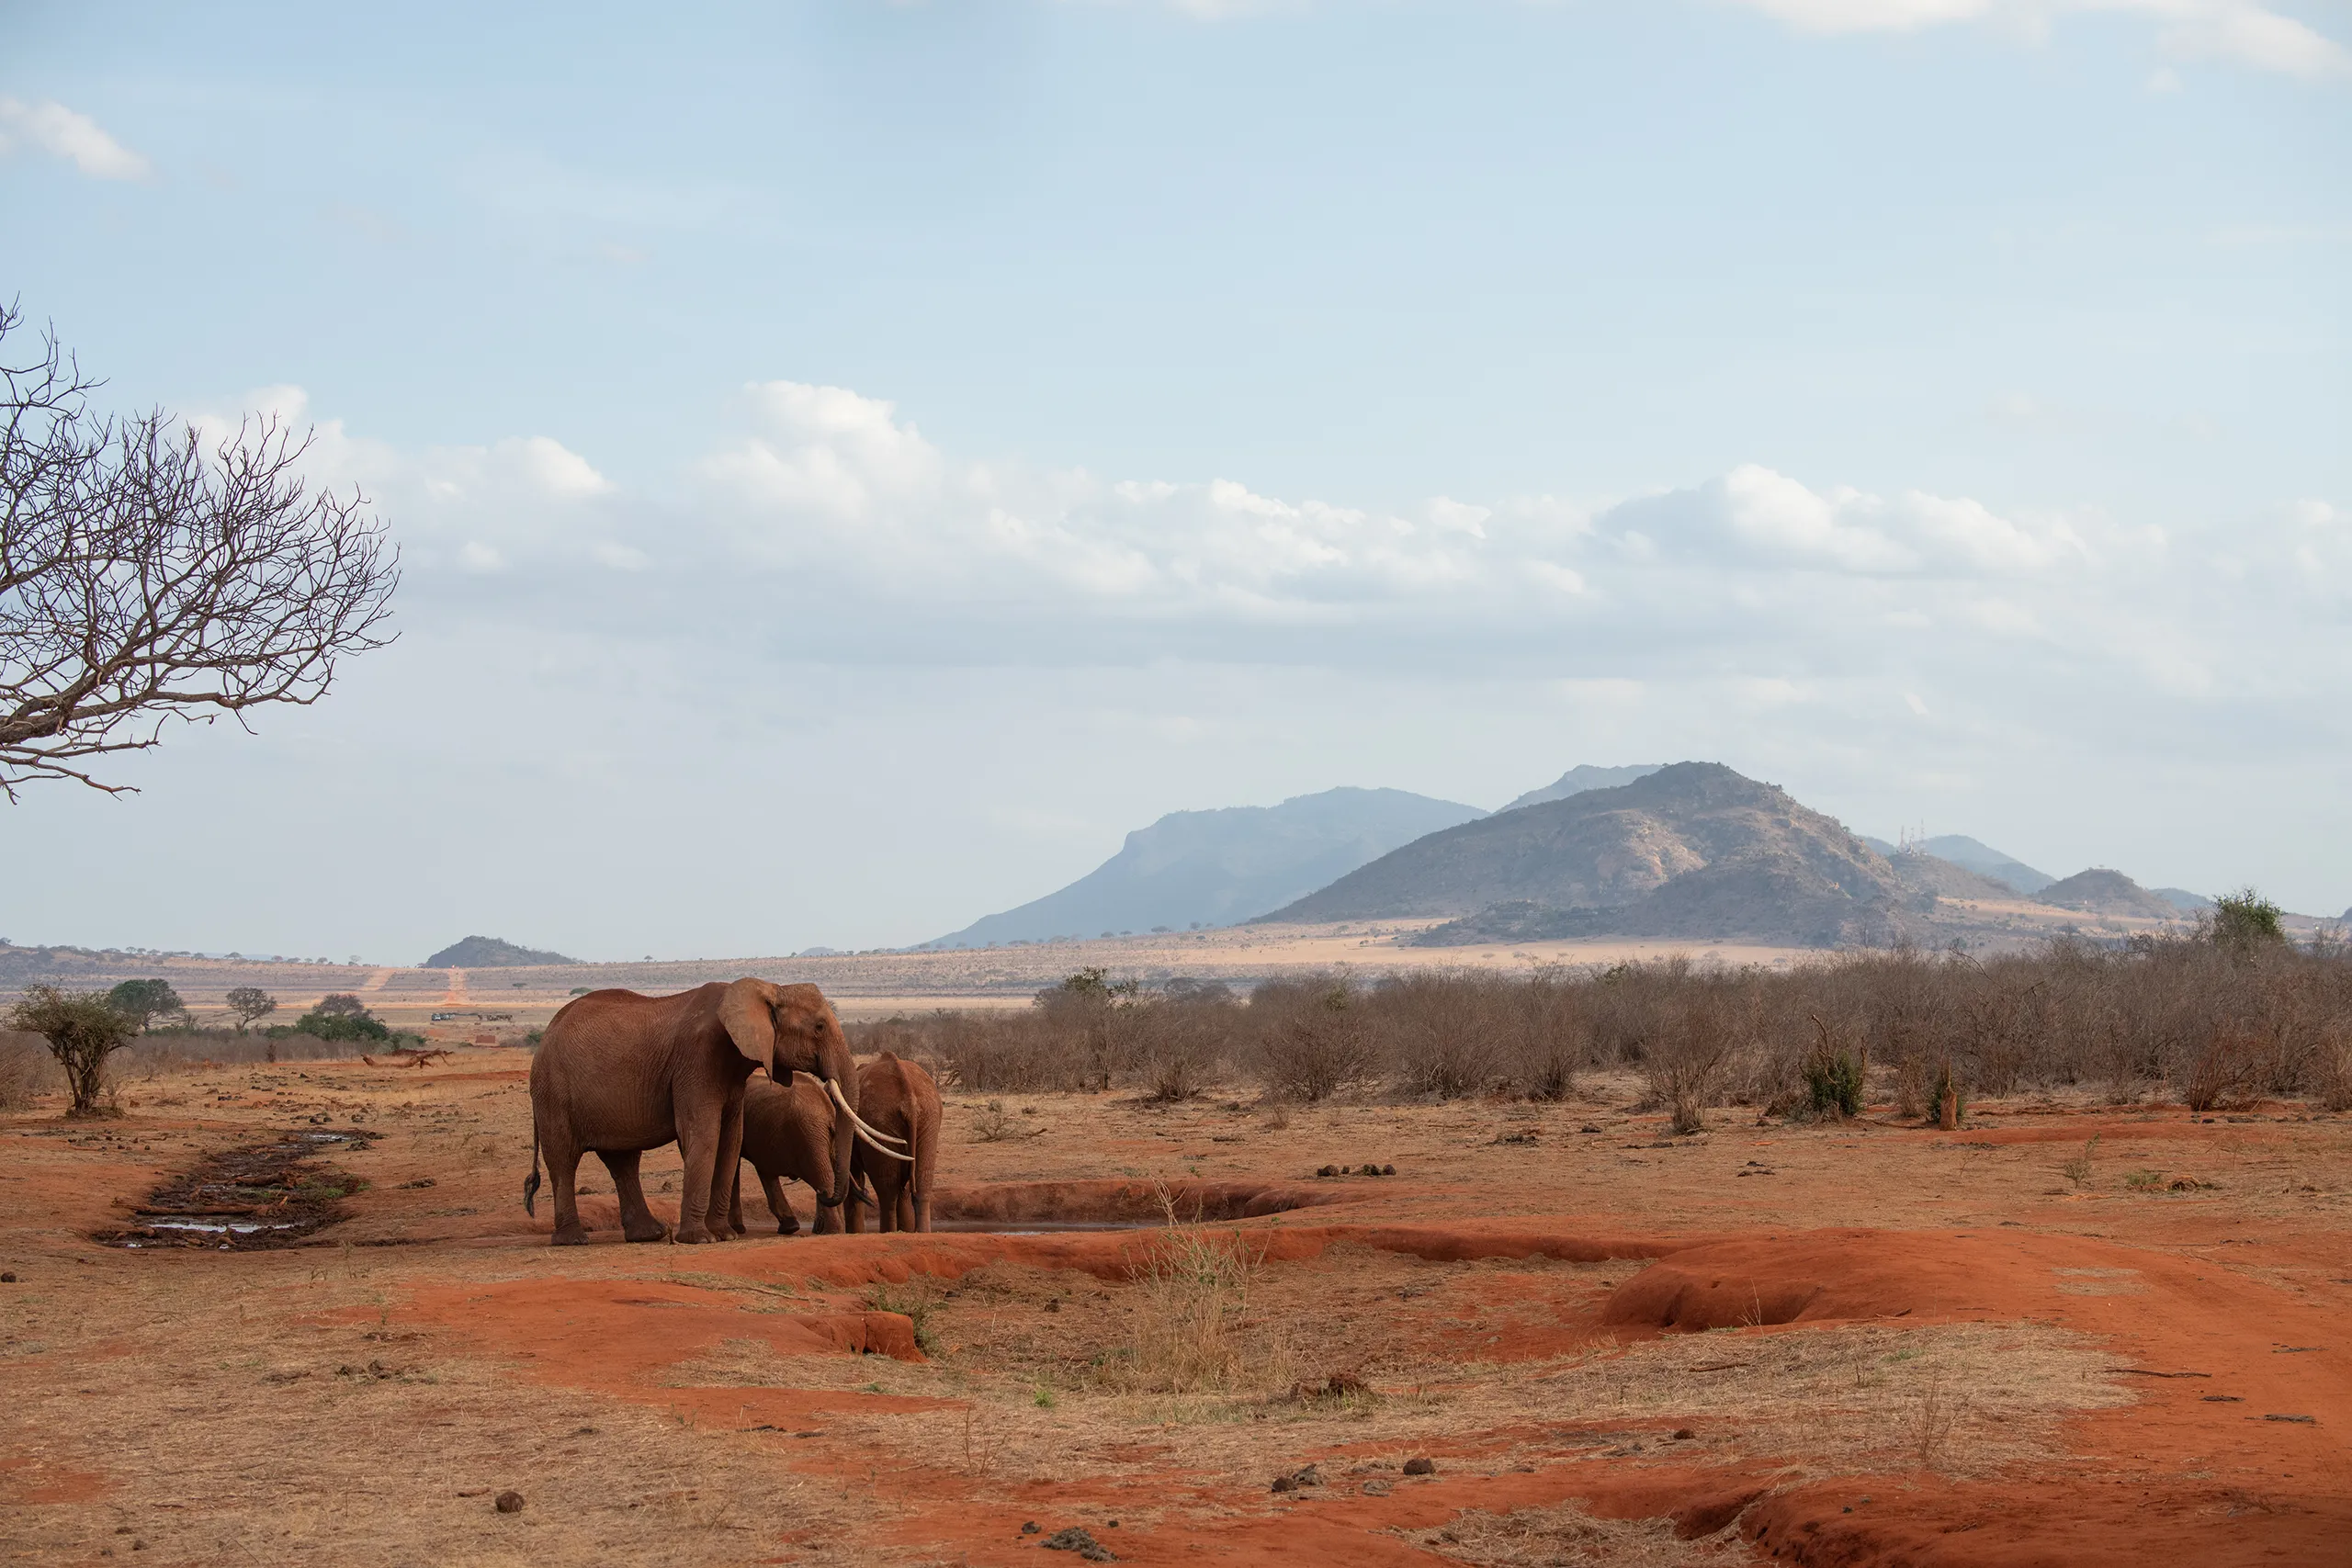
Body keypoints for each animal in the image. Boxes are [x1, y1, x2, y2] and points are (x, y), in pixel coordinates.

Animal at [724, 1073, 848, 1236]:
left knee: (823, 1176)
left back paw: (832, 1231)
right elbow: (764, 1170)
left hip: (809, 1136)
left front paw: (737, 1228)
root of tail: (828, 1111)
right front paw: (790, 1227)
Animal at [846, 1051, 941, 1233]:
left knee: (887, 1191)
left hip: (881, 1120)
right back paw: (920, 1232)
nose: (866, 1195)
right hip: (928, 1118)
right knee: (920, 1183)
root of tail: (909, 1098)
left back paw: (887, 1232)